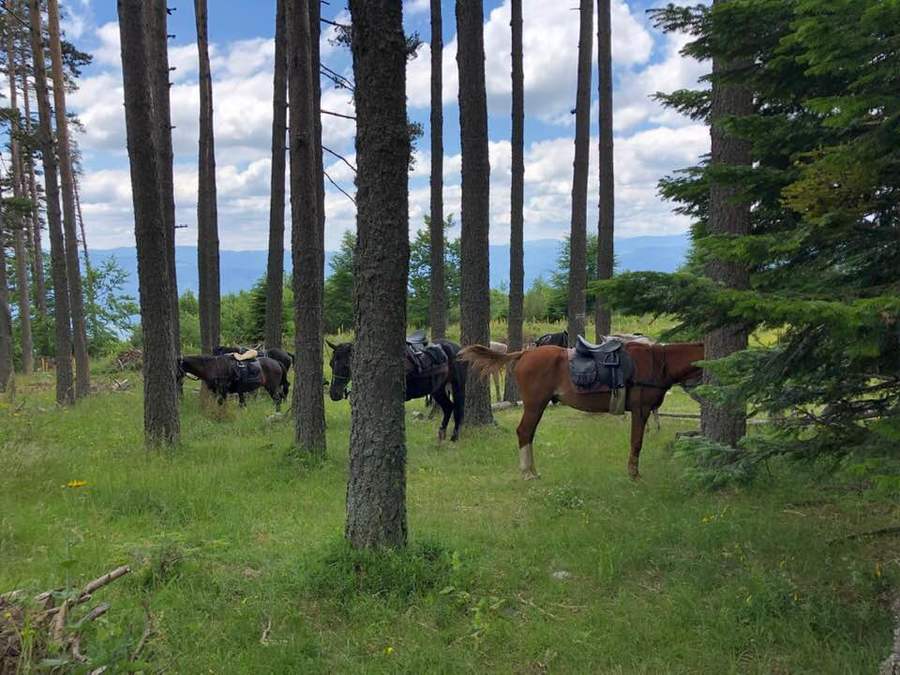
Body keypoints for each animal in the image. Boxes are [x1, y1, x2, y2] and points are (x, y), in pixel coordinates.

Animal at [326, 338, 468, 444]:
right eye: (331, 363)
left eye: (346, 365)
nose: (334, 394)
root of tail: (458, 348)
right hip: (437, 390)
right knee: (448, 407)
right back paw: (441, 435)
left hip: (457, 387)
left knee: (457, 410)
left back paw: (454, 438)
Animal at [460, 344, 708, 480]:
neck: (658, 363)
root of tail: (524, 354)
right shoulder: (641, 410)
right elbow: (636, 442)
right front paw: (634, 474)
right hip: (535, 404)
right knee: (524, 432)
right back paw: (528, 473)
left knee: (528, 434)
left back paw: (533, 471)